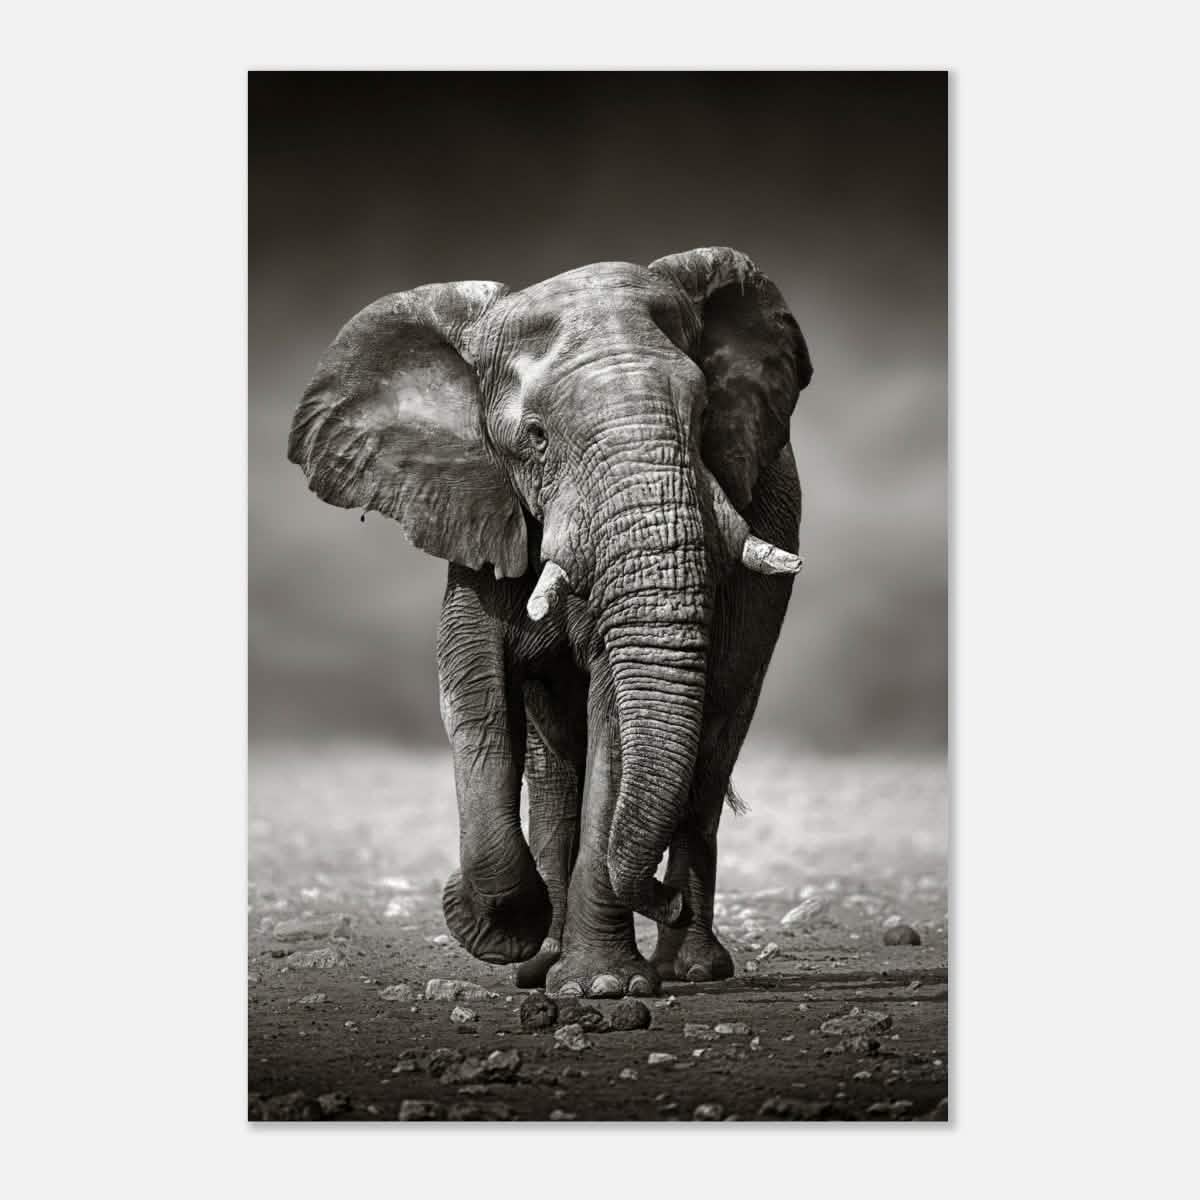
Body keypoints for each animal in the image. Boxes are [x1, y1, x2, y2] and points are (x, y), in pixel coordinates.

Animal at [287, 247, 811, 998]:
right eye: (534, 438)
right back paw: (543, 964)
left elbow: (614, 716)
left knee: (710, 752)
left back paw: (688, 968)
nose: (661, 899)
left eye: (705, 412)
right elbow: (473, 694)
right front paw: (499, 929)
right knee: (554, 767)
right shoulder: (478, 508)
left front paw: (602, 987)